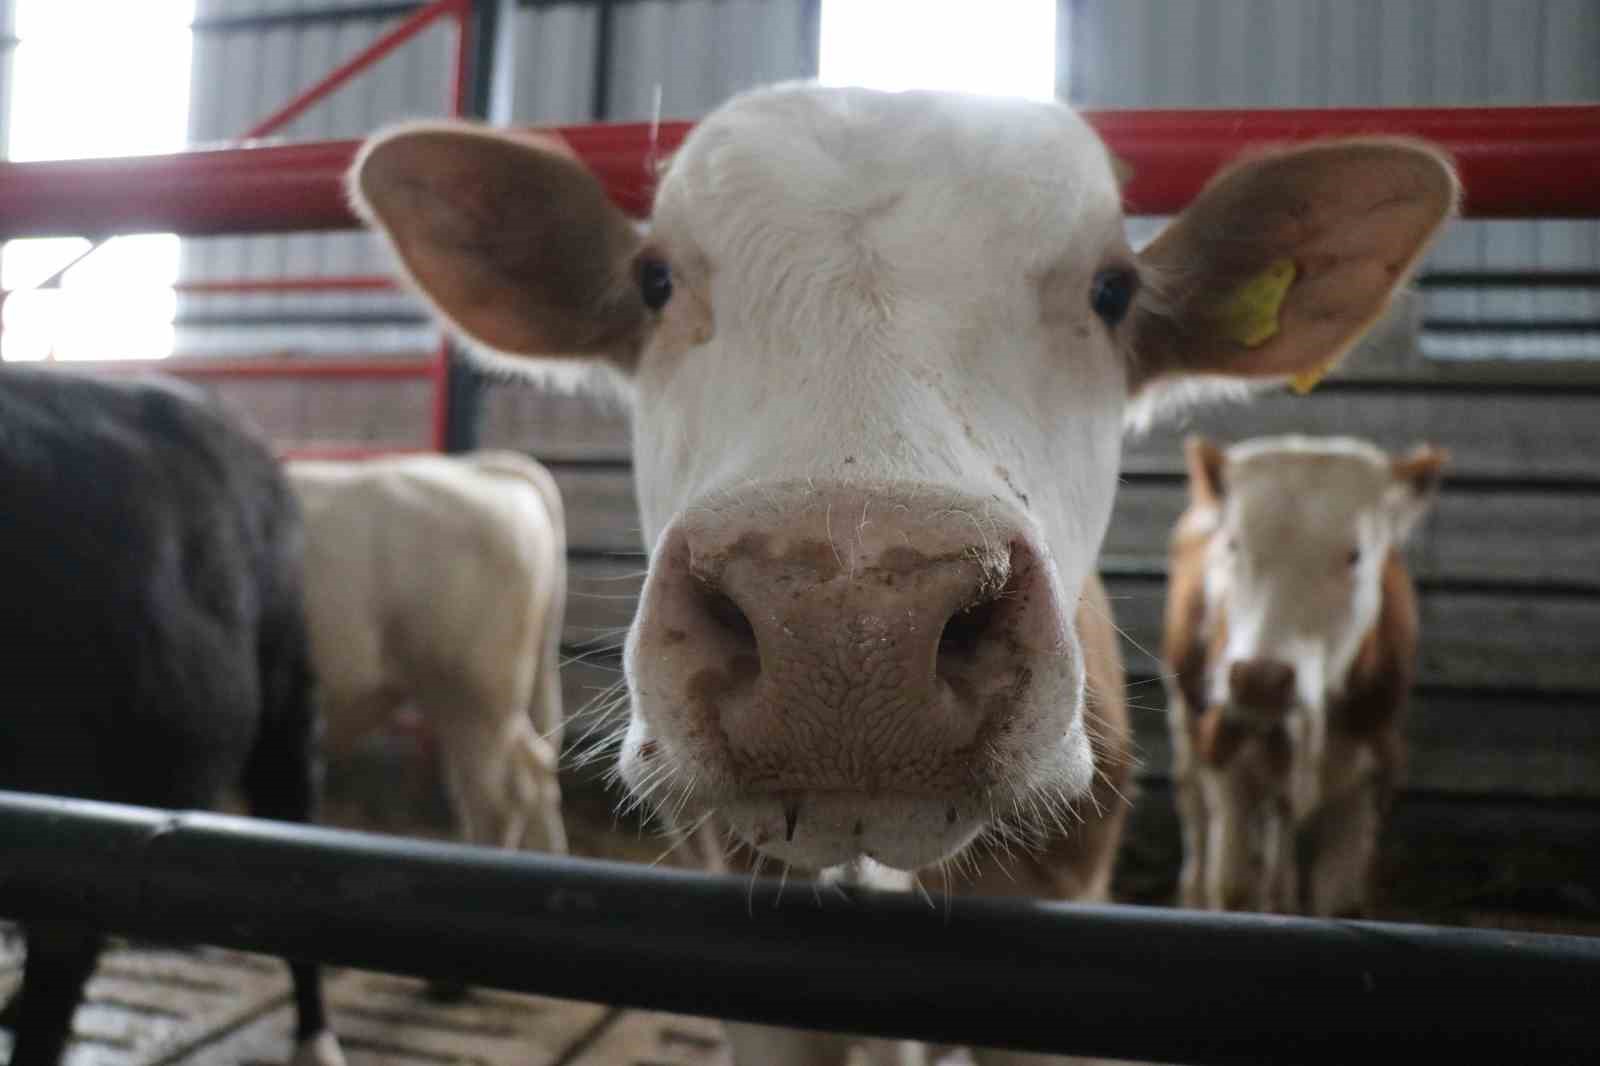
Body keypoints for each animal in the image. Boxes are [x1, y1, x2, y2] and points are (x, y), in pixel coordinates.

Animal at [1164, 432, 1452, 915]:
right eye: (1233, 545)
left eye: (1355, 554)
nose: (1260, 680)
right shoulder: (1224, 751)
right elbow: (1232, 887)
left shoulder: (1367, 776)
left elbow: (1340, 903)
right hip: (1186, 722)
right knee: (1196, 815)